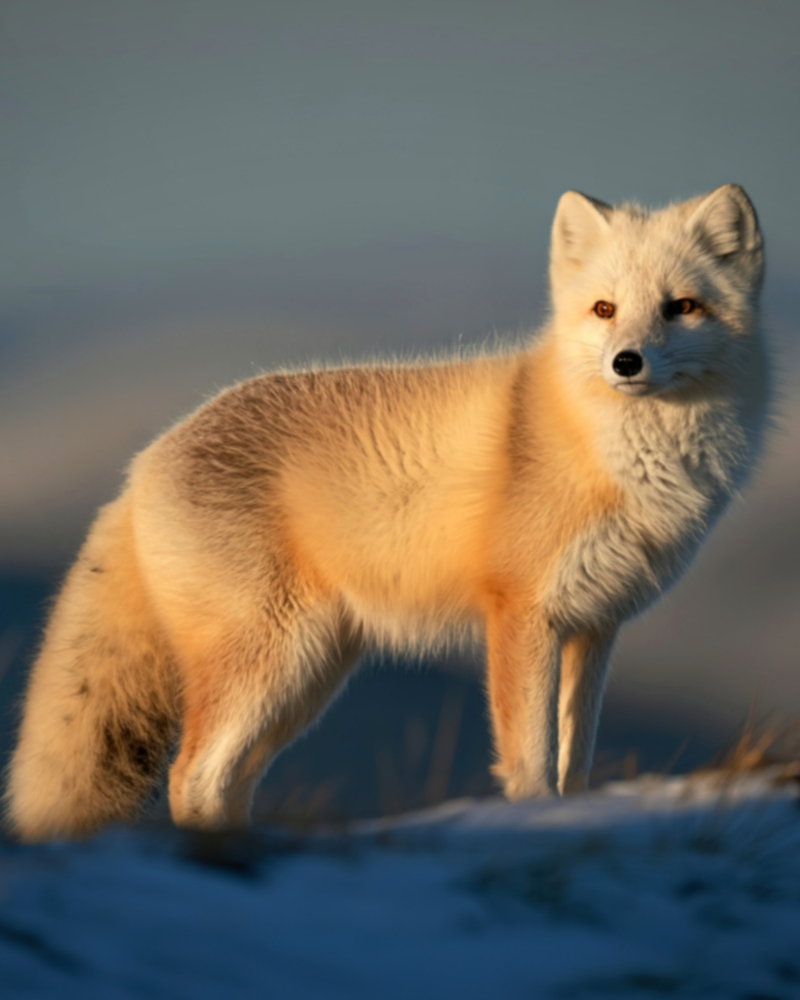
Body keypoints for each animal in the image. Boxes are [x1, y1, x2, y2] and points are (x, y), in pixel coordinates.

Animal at [5, 184, 769, 841]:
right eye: (605, 310)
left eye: (681, 307)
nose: (626, 363)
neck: (611, 452)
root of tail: (142, 463)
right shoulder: (521, 613)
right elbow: (530, 762)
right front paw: (533, 823)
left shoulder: (595, 625)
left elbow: (574, 761)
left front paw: (580, 819)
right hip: (271, 658)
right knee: (191, 777)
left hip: (306, 678)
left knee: (226, 782)